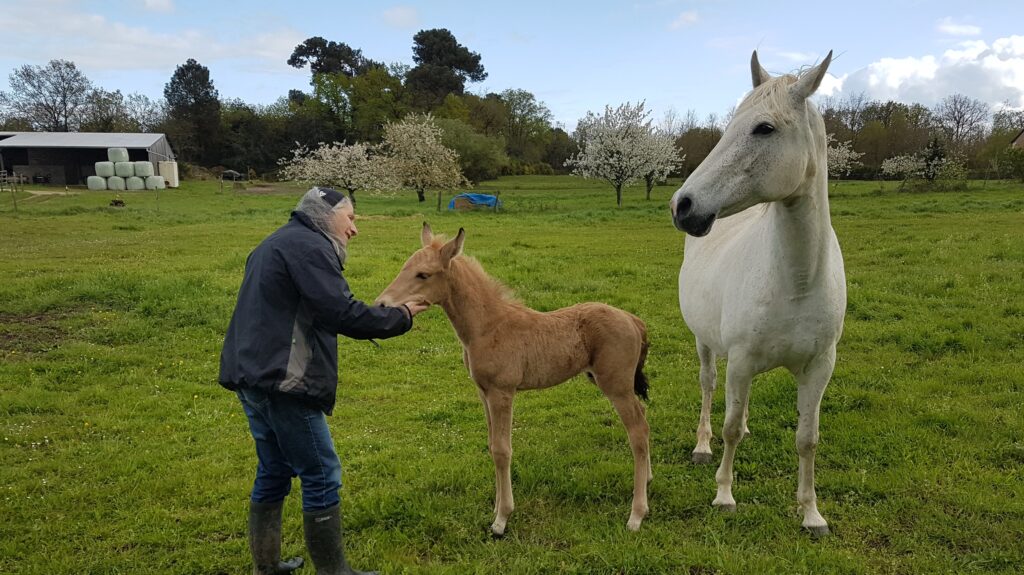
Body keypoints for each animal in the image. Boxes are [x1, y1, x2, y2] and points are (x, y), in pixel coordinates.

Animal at [374, 223, 647, 532]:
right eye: (405, 267)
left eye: (423, 274)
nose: (381, 304)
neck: (488, 327)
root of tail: (632, 319)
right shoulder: (483, 393)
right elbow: (492, 443)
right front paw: (495, 508)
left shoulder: (502, 392)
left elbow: (503, 450)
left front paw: (502, 519)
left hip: (617, 386)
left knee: (638, 432)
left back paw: (637, 514)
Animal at [667, 51, 843, 536]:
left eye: (764, 128)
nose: (683, 205)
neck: (797, 279)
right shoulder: (741, 360)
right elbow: (727, 427)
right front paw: (724, 494)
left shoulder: (819, 367)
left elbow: (808, 438)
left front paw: (811, 513)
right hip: (705, 343)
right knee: (710, 387)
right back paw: (702, 446)